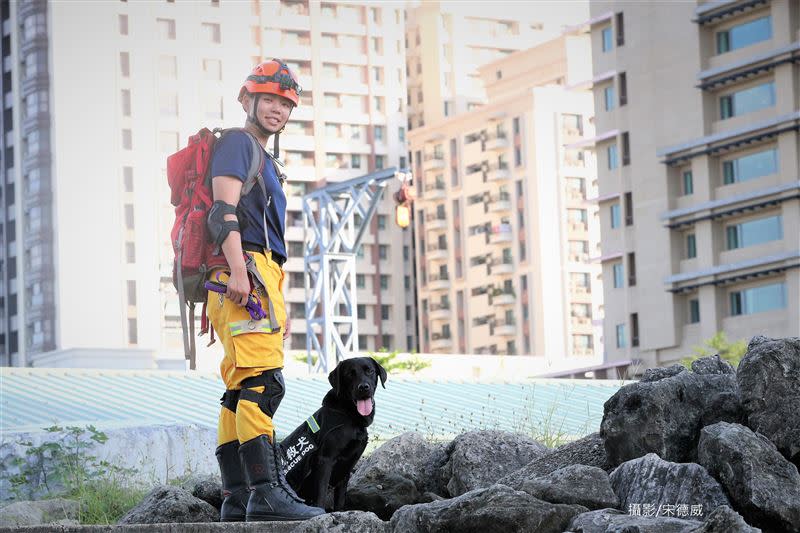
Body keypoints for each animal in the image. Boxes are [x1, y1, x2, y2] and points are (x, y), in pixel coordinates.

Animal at [278, 356, 388, 510]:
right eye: (349, 374)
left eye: (370, 371)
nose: (363, 387)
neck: (350, 416)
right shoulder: (325, 459)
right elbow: (321, 494)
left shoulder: (348, 464)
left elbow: (340, 499)